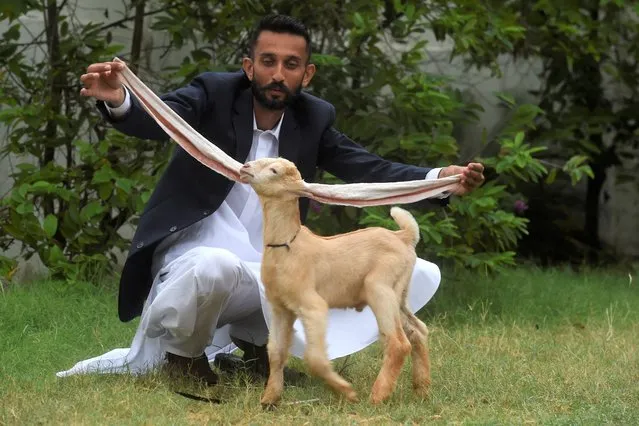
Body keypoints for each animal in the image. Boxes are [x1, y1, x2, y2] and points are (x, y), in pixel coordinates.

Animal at [241, 157, 436, 406]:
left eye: (274, 170)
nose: (245, 167)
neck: (288, 245)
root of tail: (402, 237)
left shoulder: (313, 306)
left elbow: (314, 358)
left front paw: (346, 392)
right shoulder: (280, 308)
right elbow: (276, 352)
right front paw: (269, 399)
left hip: (380, 288)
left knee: (398, 342)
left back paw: (377, 396)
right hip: (399, 293)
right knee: (418, 331)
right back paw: (422, 390)